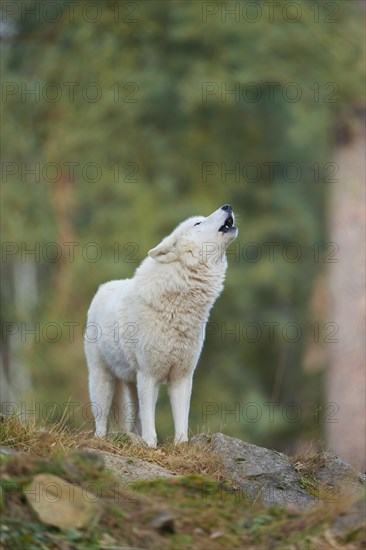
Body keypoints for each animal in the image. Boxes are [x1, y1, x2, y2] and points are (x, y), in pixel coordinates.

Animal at [85, 205, 239, 446]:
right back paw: (101, 440)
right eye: (197, 223)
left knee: (134, 419)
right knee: (101, 421)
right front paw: (150, 446)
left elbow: (181, 420)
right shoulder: (149, 376)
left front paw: (181, 446)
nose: (227, 206)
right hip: (103, 380)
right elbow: (150, 423)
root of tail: (103, 288)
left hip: (132, 383)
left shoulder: (182, 377)